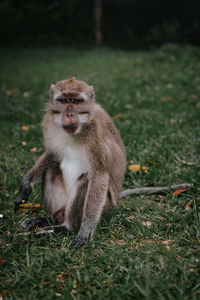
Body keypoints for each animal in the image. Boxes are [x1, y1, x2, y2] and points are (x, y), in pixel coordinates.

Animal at [14, 77, 126, 248]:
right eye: (64, 100)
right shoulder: (48, 124)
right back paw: (48, 220)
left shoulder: (97, 136)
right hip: (61, 206)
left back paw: (65, 228)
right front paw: (26, 183)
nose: (69, 113)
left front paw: (86, 230)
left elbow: (99, 175)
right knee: (51, 169)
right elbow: (52, 154)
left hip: (104, 209)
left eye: (76, 101)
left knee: (86, 180)